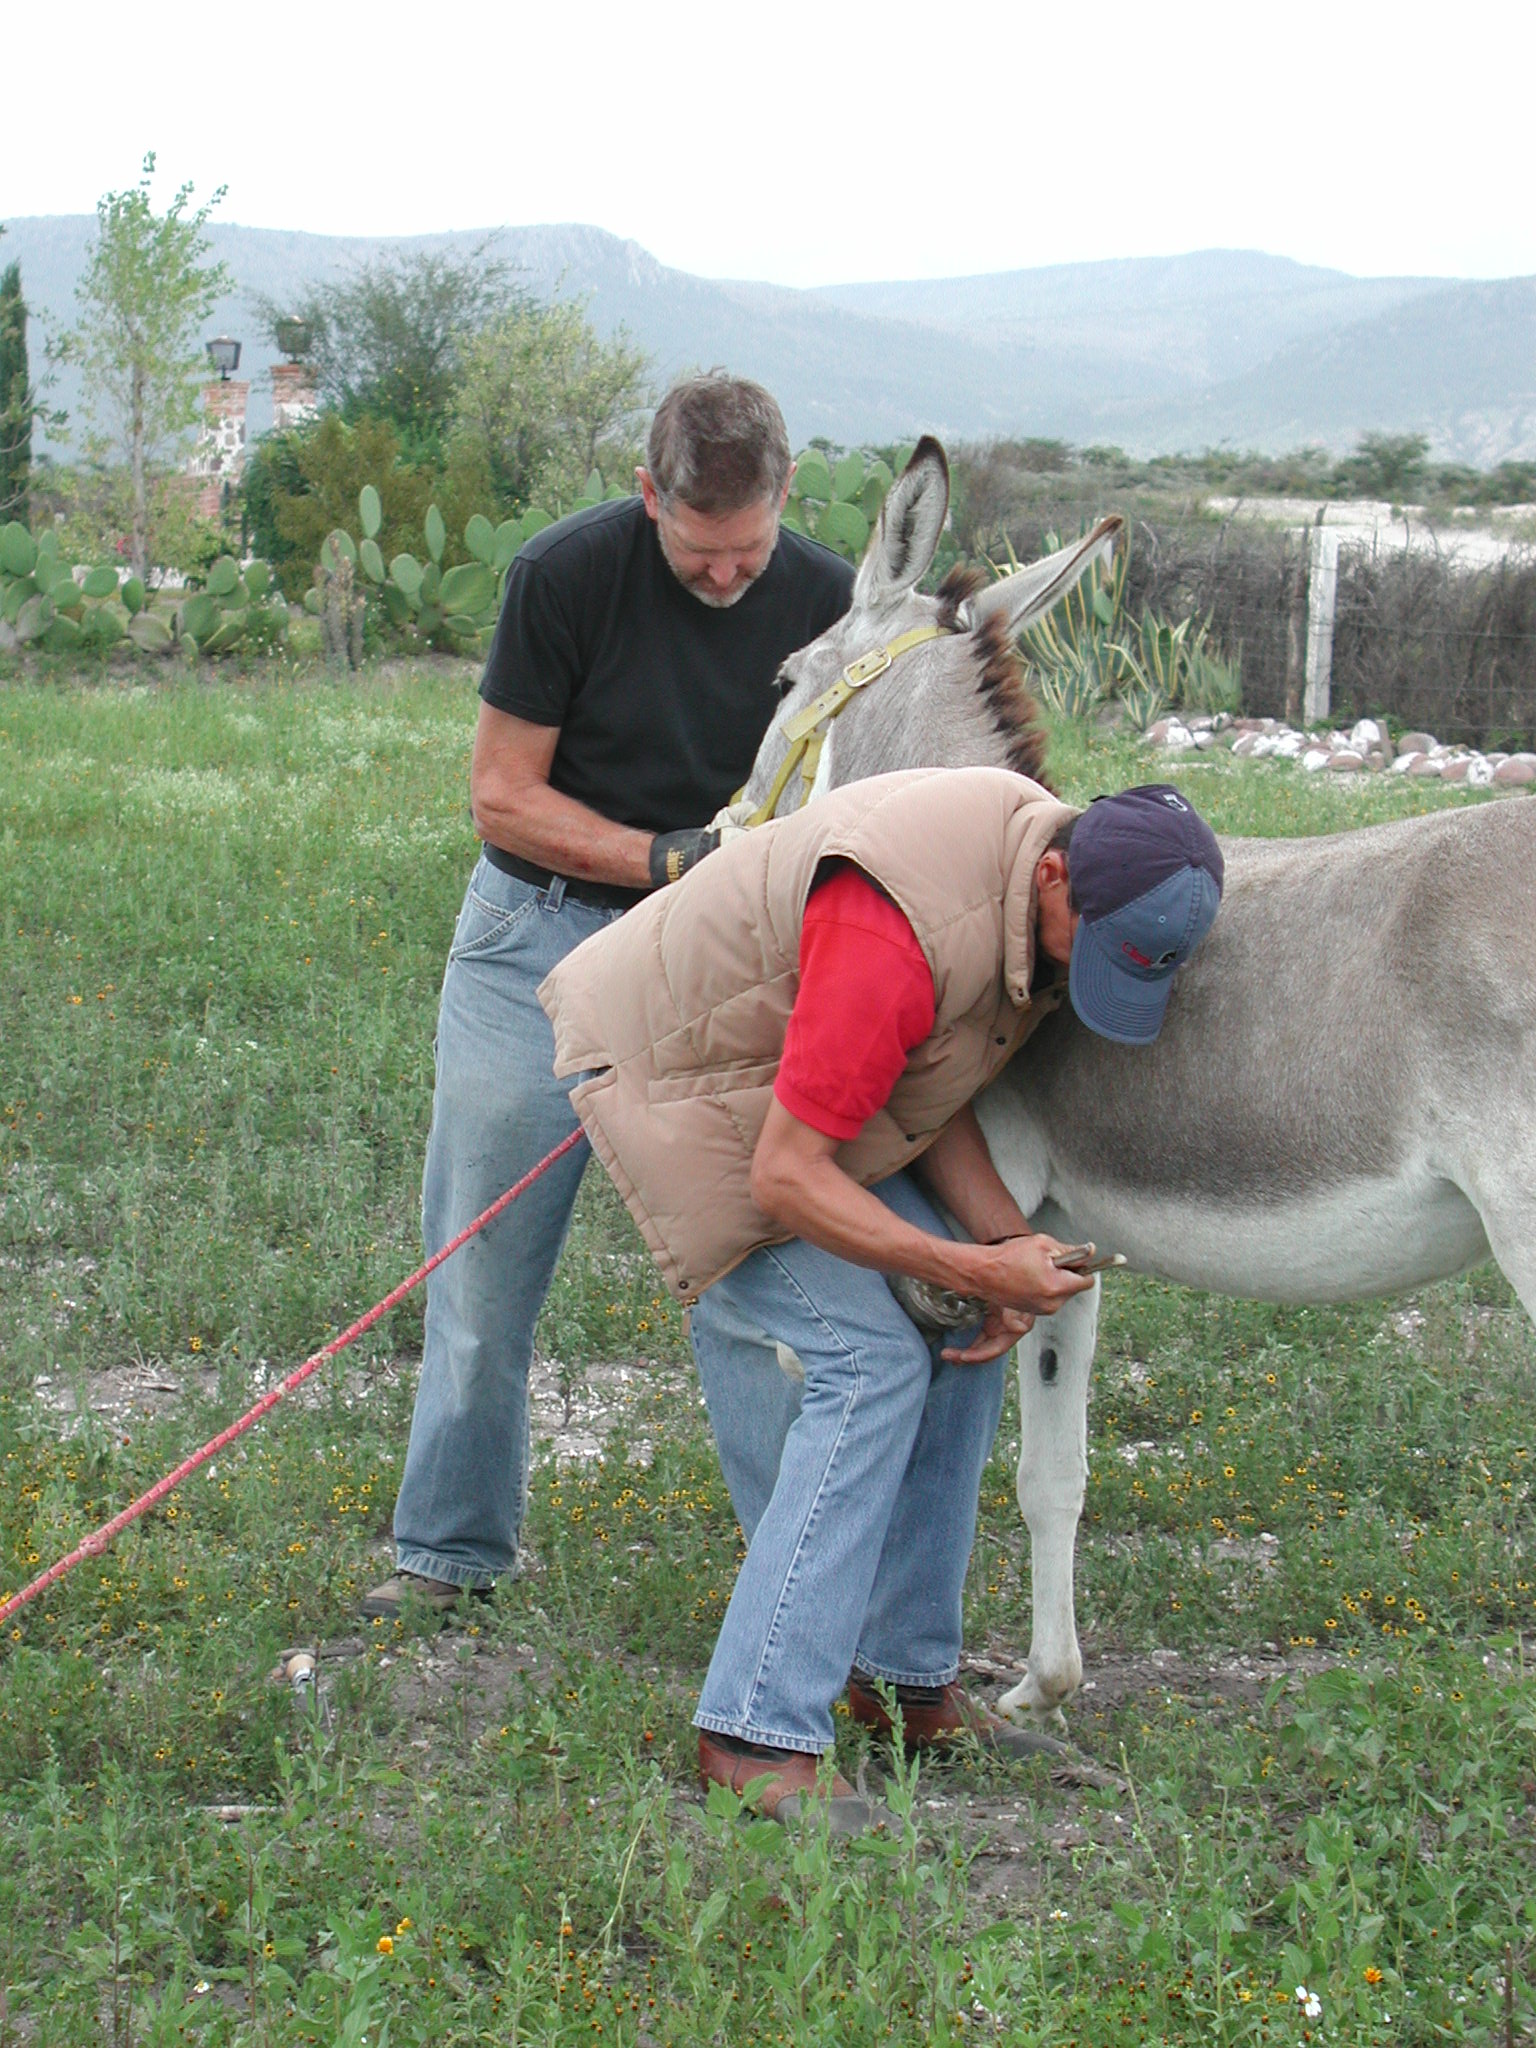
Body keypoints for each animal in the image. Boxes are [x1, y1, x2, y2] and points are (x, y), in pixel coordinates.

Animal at [729, 437, 1536, 1724]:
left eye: (783, 674)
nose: (709, 840)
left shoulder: (947, 1211)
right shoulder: (1052, 1236)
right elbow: (1052, 1472)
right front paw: (1041, 1687)